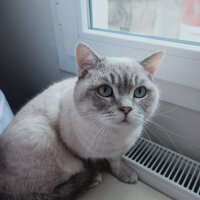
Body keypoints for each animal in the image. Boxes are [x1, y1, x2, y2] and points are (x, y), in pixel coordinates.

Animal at [0, 43, 163, 200]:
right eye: (105, 91)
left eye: (140, 92)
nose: (126, 109)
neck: (115, 136)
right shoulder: (76, 152)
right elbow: (88, 163)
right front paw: (96, 170)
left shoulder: (115, 153)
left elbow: (116, 161)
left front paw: (124, 173)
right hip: (45, 139)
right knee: (46, 191)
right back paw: (93, 179)